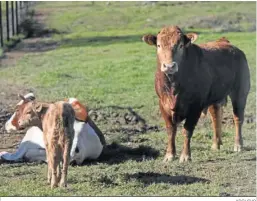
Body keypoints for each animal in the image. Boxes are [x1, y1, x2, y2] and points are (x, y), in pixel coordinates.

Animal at [141, 25, 249, 163]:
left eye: (180, 45)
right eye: (159, 45)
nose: (169, 66)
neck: (173, 86)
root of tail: (226, 43)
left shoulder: (195, 106)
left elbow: (187, 130)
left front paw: (185, 156)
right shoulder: (163, 104)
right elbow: (171, 130)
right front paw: (169, 155)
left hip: (240, 92)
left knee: (237, 118)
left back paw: (238, 144)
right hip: (214, 97)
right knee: (216, 117)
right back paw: (216, 144)